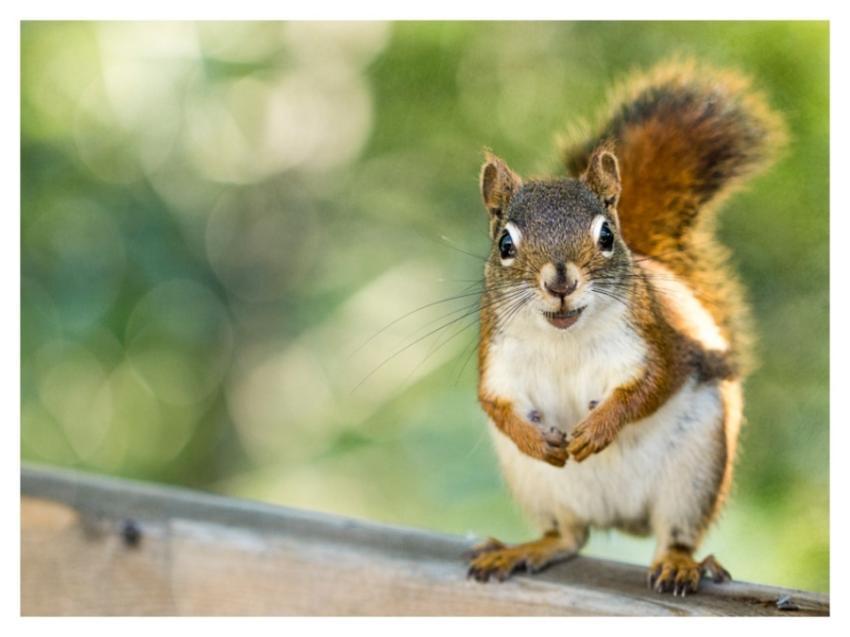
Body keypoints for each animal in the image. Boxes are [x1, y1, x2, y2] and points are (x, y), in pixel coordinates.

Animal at [466, 60, 786, 595]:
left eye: (607, 236)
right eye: (505, 244)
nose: (560, 281)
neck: (565, 338)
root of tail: (619, 518)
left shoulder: (657, 342)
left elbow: (653, 386)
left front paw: (599, 428)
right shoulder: (497, 359)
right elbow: (493, 403)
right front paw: (535, 439)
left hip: (694, 472)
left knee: (675, 533)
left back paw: (680, 563)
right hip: (538, 486)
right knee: (568, 536)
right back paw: (524, 549)